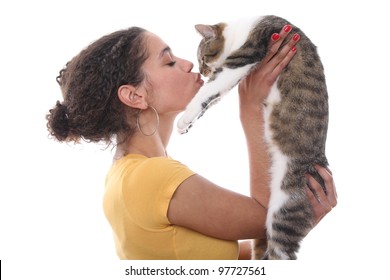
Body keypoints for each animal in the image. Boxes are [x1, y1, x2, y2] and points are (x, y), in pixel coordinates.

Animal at [177, 15, 330, 260]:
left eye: (202, 58)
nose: (201, 72)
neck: (242, 30)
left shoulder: (241, 59)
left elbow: (206, 92)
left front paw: (183, 119)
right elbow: (211, 98)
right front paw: (187, 125)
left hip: (284, 207)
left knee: (281, 251)